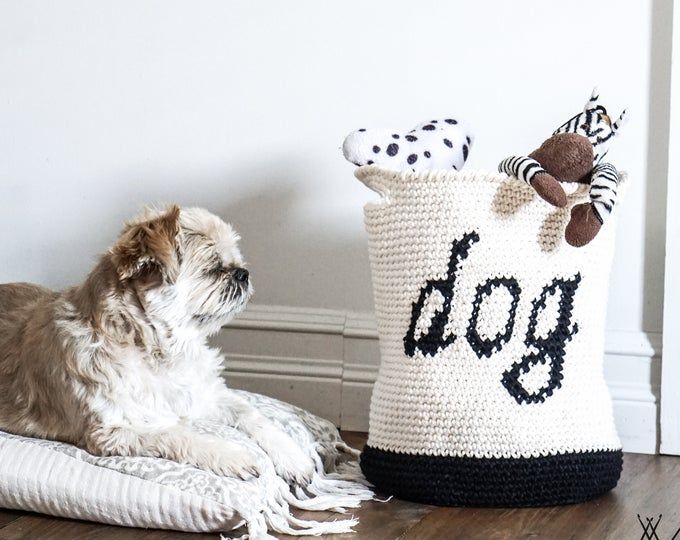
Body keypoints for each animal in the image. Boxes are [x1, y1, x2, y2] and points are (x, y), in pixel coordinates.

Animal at [0, 205, 314, 484]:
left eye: (235, 260)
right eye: (213, 268)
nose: (243, 273)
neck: (157, 351)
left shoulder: (206, 394)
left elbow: (253, 414)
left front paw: (292, 456)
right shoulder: (116, 429)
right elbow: (178, 434)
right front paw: (232, 455)